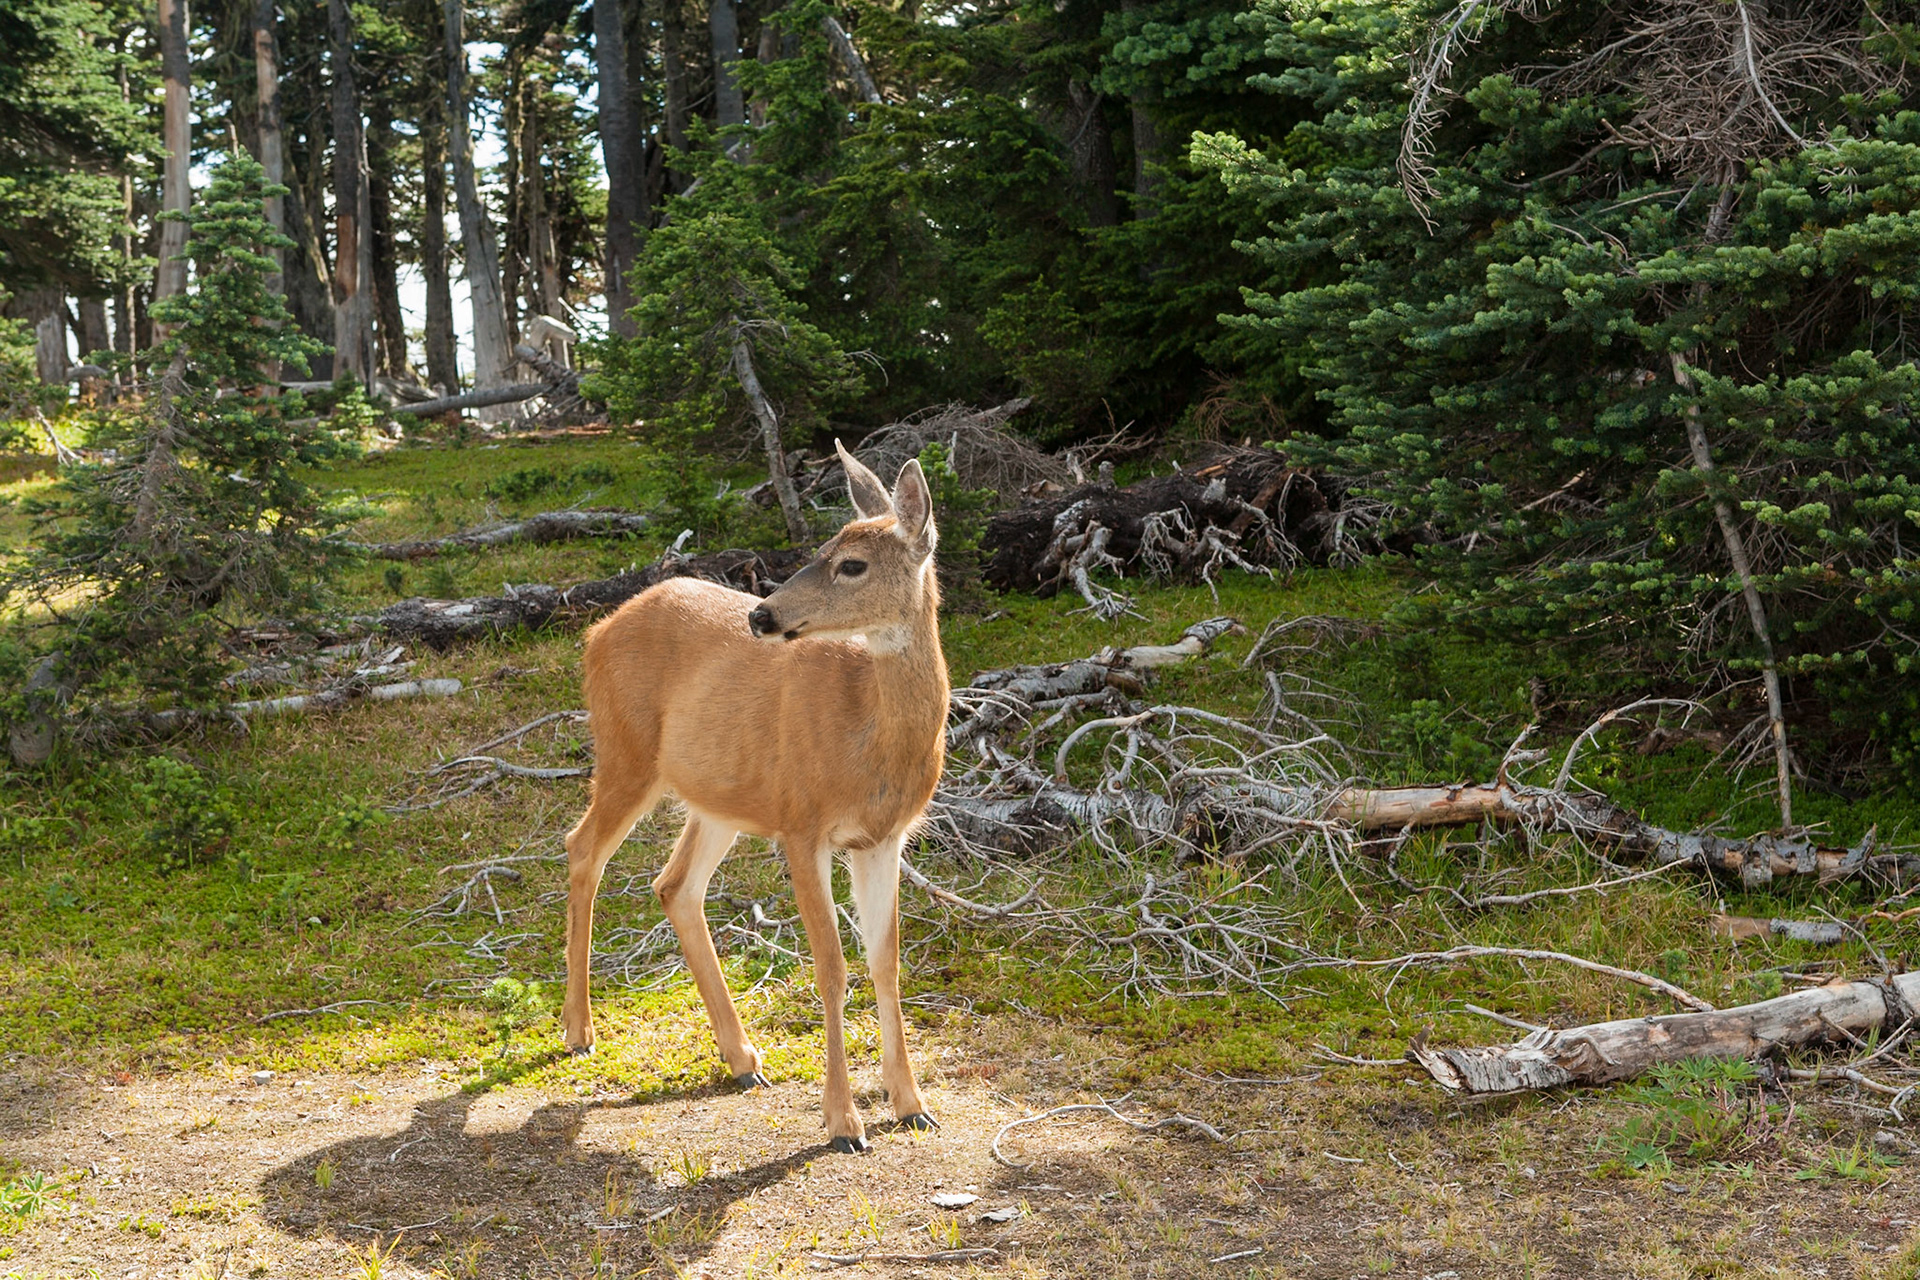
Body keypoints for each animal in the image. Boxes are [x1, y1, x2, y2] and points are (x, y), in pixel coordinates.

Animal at [561, 441, 948, 1153]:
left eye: (852, 563)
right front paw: (844, 1122)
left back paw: (742, 1058)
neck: (869, 737)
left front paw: (911, 1104)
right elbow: (831, 967)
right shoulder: (802, 823)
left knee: (674, 884)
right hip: (627, 751)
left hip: (718, 797)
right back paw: (579, 1030)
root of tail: (596, 631)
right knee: (583, 850)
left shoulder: (882, 838)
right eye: (821, 546)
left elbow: (886, 962)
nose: (761, 614)